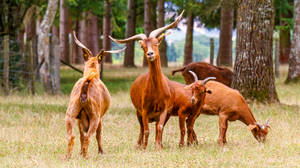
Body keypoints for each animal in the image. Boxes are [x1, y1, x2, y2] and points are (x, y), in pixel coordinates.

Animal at [65, 31, 126, 159]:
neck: (92, 72)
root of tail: (85, 89)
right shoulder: (100, 117)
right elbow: (98, 135)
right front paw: (101, 151)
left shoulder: (79, 119)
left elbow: (81, 136)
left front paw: (79, 152)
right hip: (95, 116)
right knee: (89, 137)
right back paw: (86, 156)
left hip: (70, 114)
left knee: (72, 136)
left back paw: (68, 156)